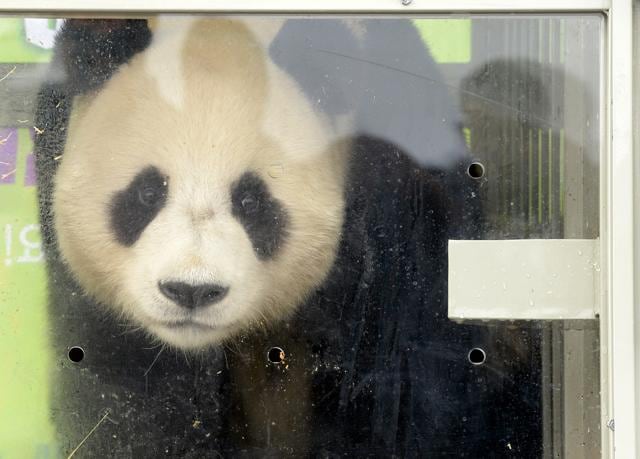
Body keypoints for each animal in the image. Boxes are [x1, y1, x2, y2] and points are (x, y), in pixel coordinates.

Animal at [35, 17, 541, 458]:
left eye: (251, 200)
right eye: (147, 191)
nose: (192, 291)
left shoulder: (397, 202)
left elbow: (396, 381)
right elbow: (127, 391)